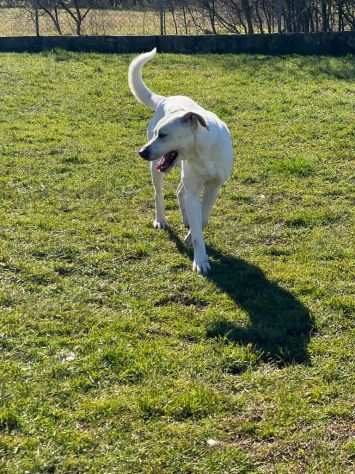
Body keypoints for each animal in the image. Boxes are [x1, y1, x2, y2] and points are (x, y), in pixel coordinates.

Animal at [128, 49, 234, 274]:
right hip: (156, 169)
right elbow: (197, 225)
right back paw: (161, 220)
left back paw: (186, 220)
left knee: (179, 191)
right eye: (157, 133)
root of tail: (165, 99)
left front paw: (191, 232)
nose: (141, 152)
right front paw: (200, 260)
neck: (201, 152)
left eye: (163, 135)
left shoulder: (214, 186)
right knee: (159, 194)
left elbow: (202, 217)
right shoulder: (193, 189)